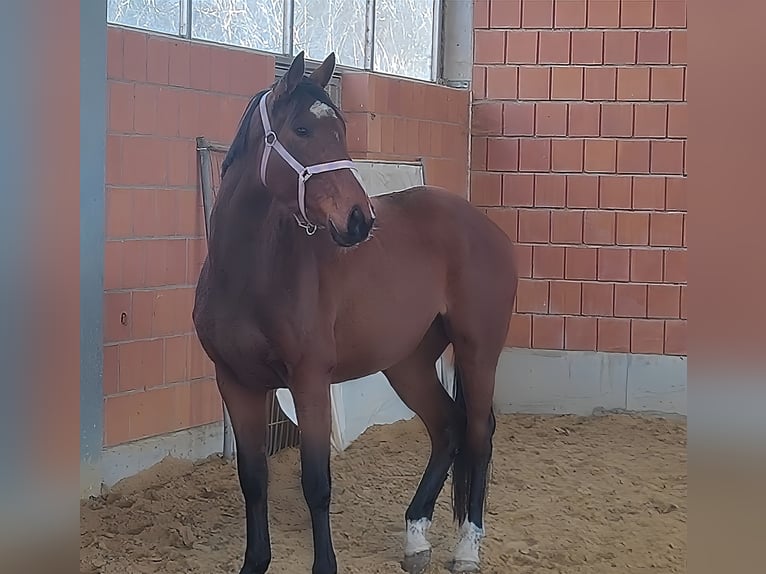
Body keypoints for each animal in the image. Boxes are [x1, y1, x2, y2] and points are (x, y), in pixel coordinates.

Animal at [192, 50, 518, 574]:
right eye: (302, 129)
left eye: (341, 130)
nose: (360, 220)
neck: (251, 275)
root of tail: (483, 225)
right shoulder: (236, 384)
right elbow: (253, 480)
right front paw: (255, 562)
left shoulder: (309, 382)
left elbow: (316, 484)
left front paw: (325, 565)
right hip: (407, 362)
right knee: (446, 427)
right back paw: (416, 537)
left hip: (478, 352)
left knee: (478, 433)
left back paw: (467, 547)